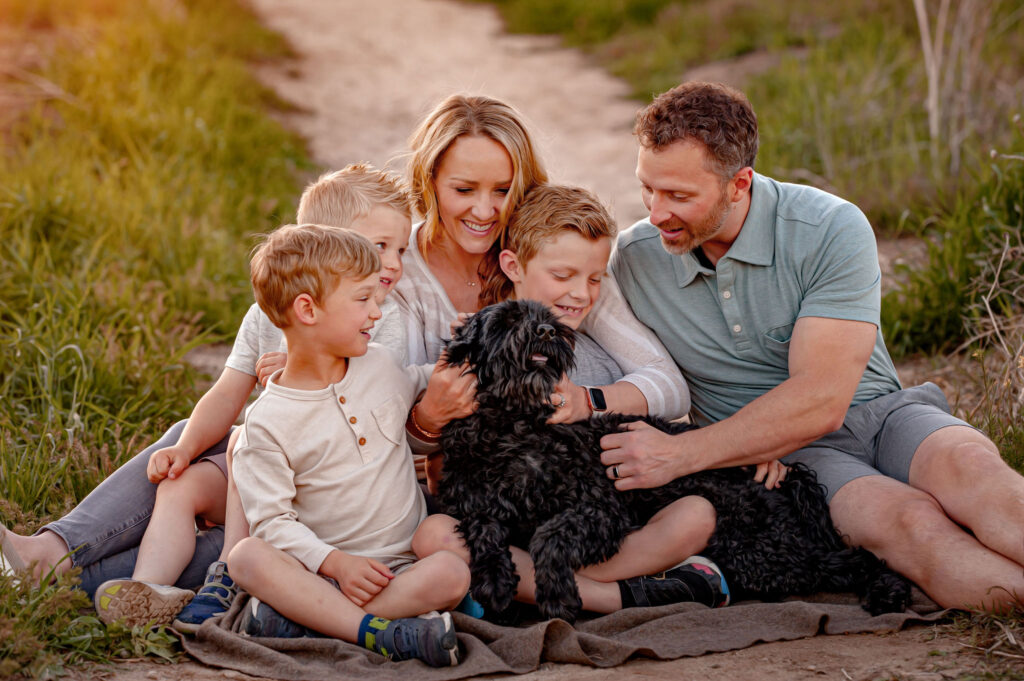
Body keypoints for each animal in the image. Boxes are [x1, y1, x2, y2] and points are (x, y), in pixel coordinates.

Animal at [432, 301, 913, 622]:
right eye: (507, 320)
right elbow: (484, 533)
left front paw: (557, 593)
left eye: (545, 315)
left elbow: (548, 536)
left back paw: (889, 592)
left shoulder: (600, 508)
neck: (515, 425)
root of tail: (783, 476)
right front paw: (494, 582)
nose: (549, 331)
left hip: (760, 552)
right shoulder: (478, 504)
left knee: (850, 557)